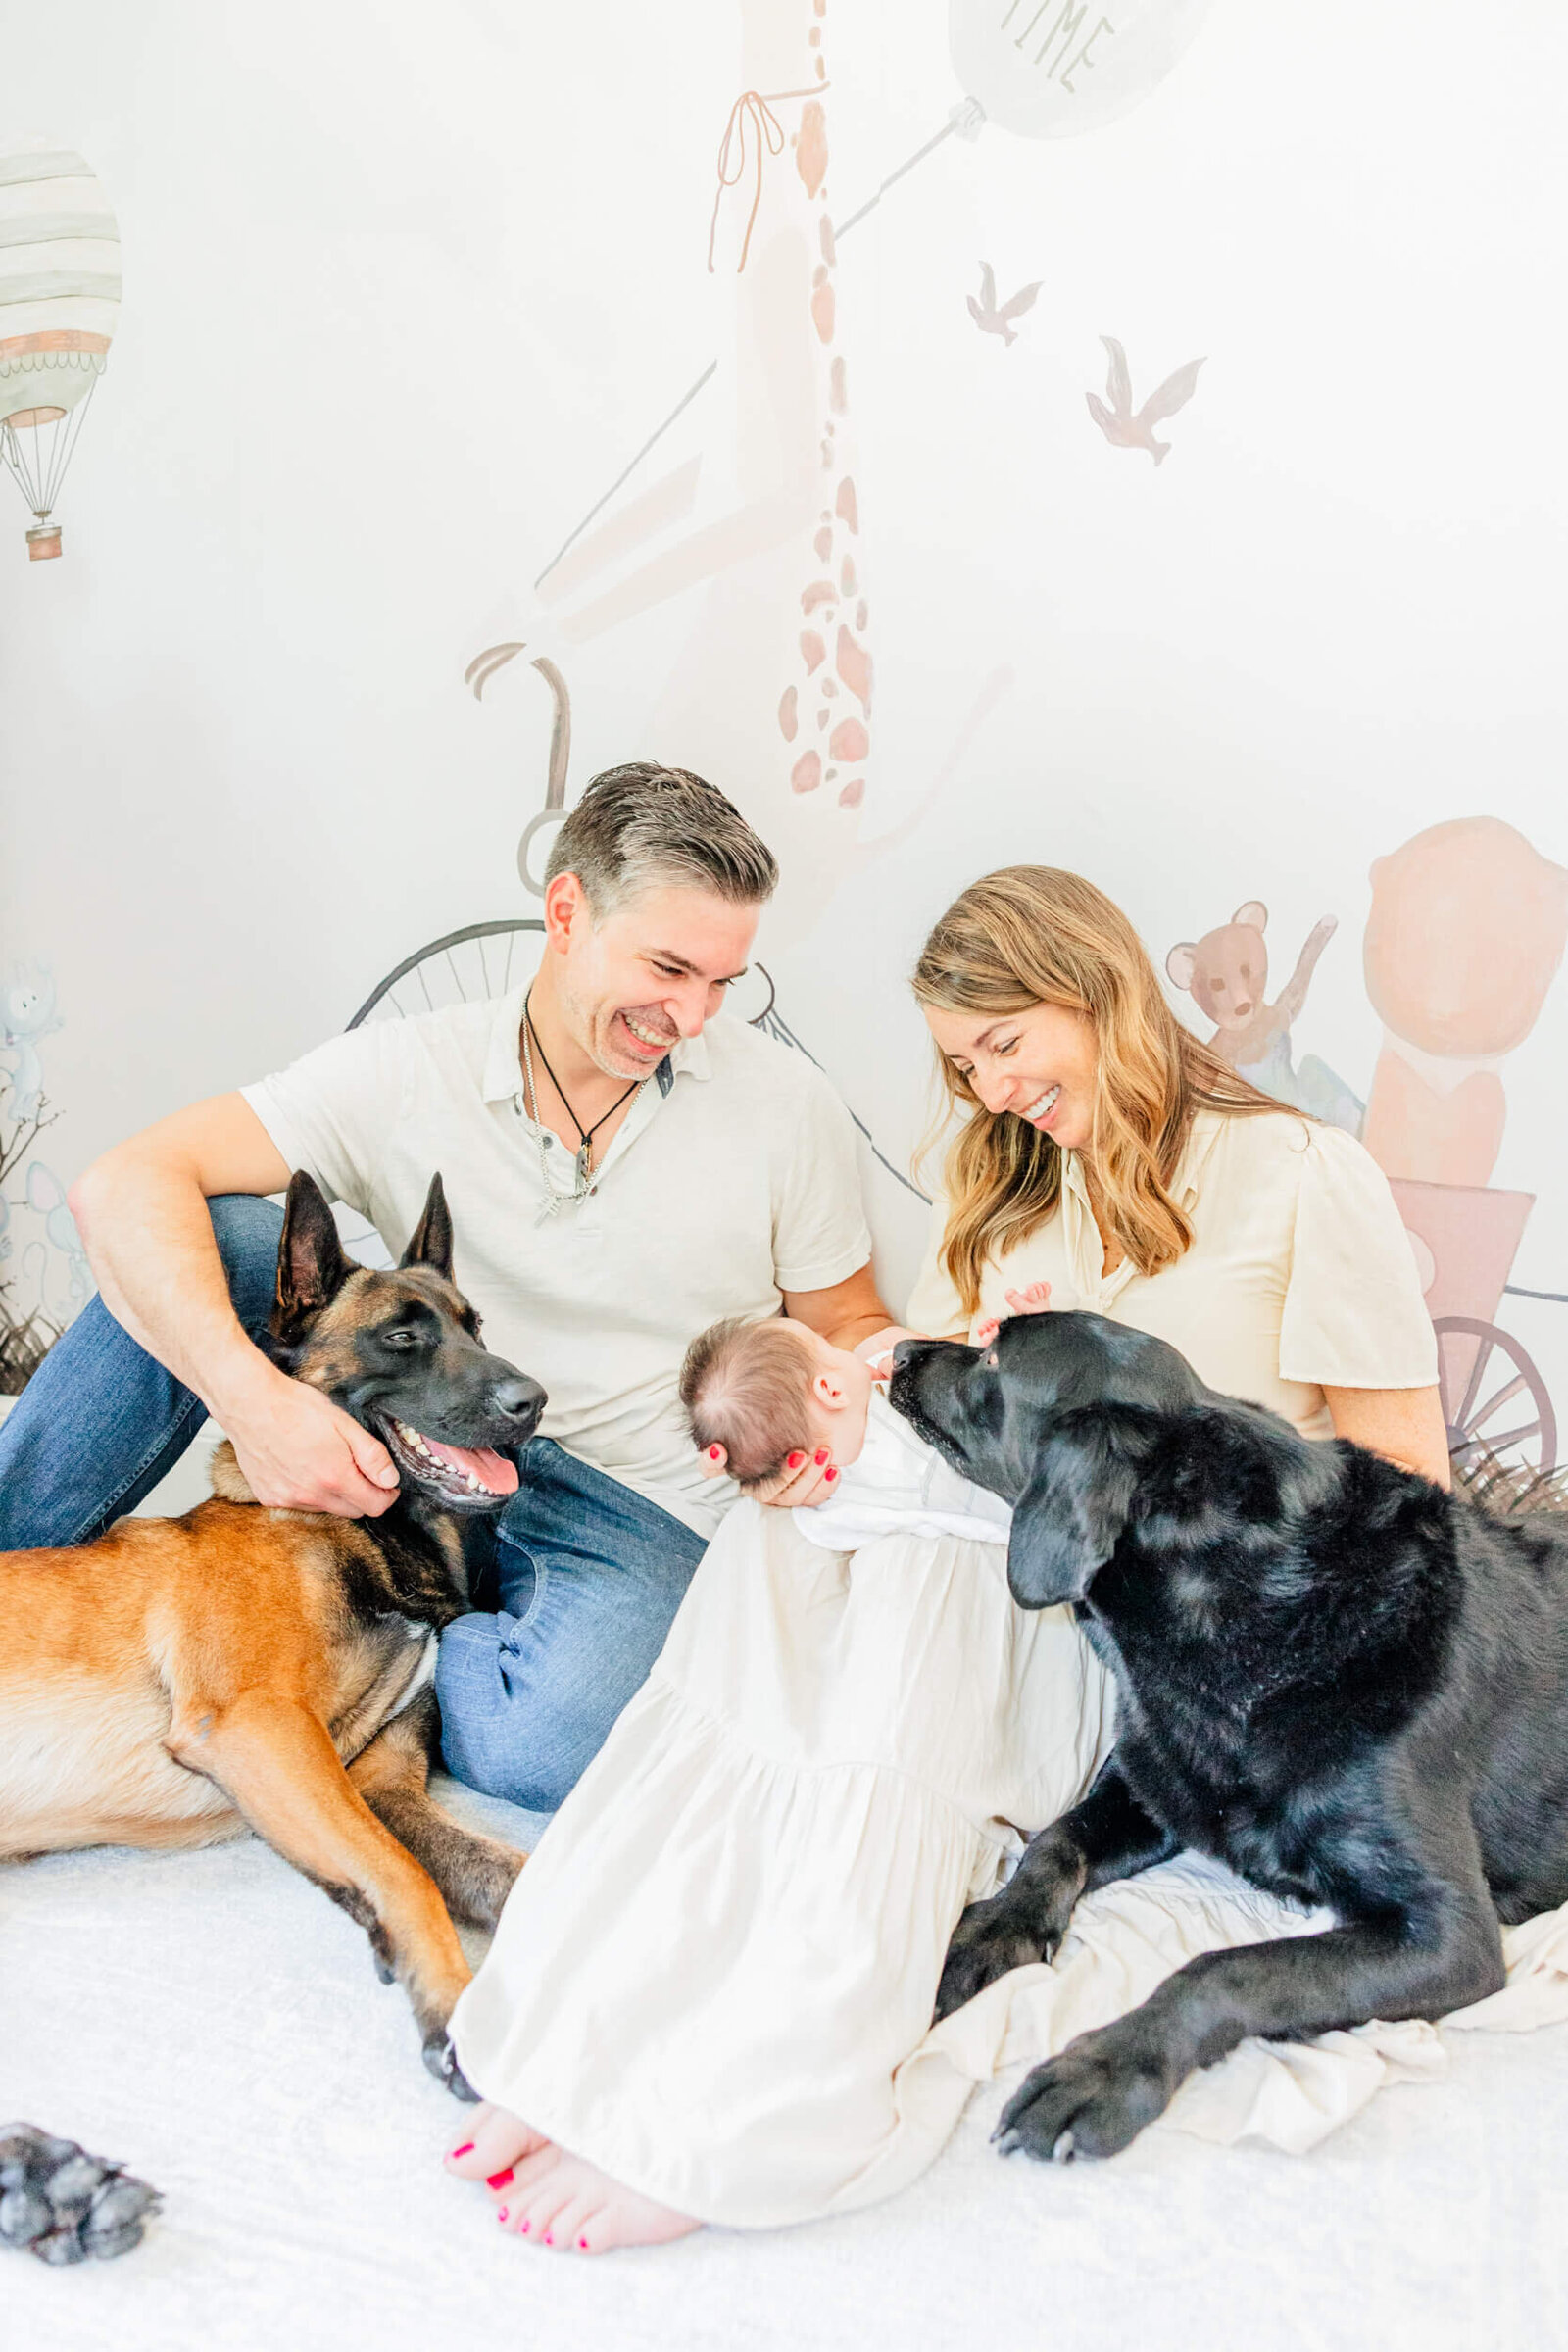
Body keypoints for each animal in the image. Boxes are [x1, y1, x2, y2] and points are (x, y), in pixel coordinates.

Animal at [0, 1176, 543, 2097]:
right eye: (402, 1336)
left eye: (478, 1328)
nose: (532, 1403)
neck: (370, 1536)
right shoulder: (262, 1727)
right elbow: (405, 1875)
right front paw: (449, 2005)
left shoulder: (378, 1784)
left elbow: (512, 1871)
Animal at [883, 1317, 1568, 2154]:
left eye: (989, 1355)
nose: (895, 1351)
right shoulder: (1153, 1782)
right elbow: (1053, 1840)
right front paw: (997, 1928)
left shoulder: (1448, 1933)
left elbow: (1228, 1969)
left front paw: (1108, 2070)